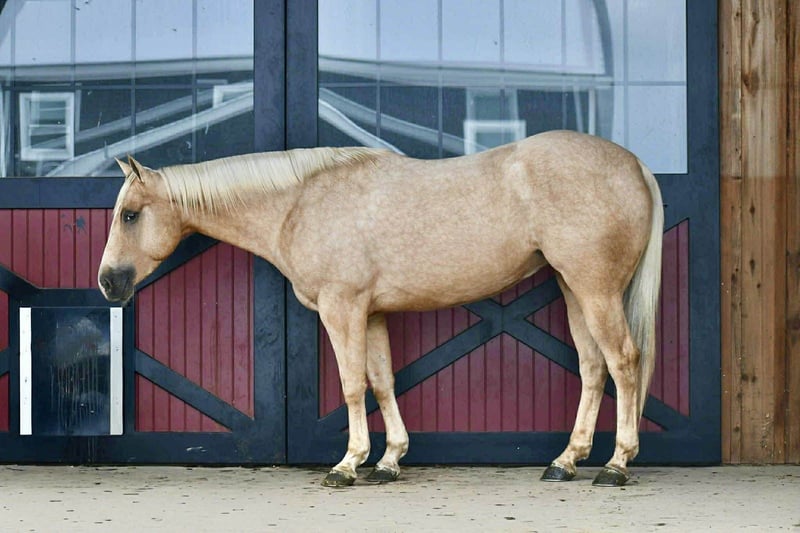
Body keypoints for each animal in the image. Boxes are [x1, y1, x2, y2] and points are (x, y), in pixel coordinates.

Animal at [98, 130, 663, 488]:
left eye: (130, 215)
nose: (107, 282)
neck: (299, 203)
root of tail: (635, 165)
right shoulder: (370, 314)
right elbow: (382, 381)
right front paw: (390, 461)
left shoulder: (341, 307)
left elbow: (352, 384)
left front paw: (348, 464)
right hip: (573, 288)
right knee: (593, 367)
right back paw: (566, 461)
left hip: (595, 289)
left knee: (623, 362)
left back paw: (616, 465)